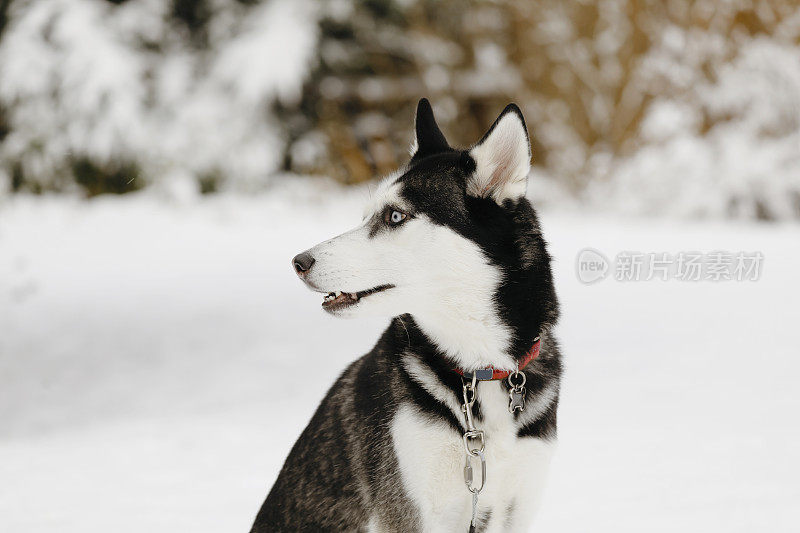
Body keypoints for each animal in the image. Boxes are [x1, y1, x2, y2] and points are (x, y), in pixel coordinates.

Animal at [252, 100, 564, 532]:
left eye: (395, 217)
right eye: (366, 216)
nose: (299, 262)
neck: (476, 368)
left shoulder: (517, 508)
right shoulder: (412, 512)